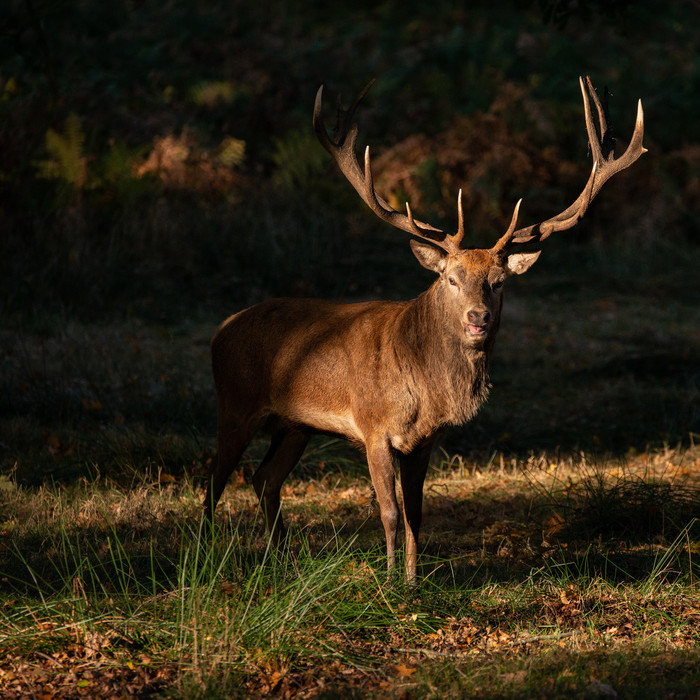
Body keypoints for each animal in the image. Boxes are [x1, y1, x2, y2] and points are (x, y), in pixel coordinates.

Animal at [205, 76, 648, 584]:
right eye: (451, 278)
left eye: (498, 281)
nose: (478, 317)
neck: (423, 387)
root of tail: (220, 330)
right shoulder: (373, 426)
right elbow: (389, 512)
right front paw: (388, 582)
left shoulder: (424, 441)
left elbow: (417, 513)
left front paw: (414, 581)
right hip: (234, 404)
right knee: (214, 479)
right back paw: (205, 556)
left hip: (295, 425)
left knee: (264, 478)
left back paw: (282, 563)